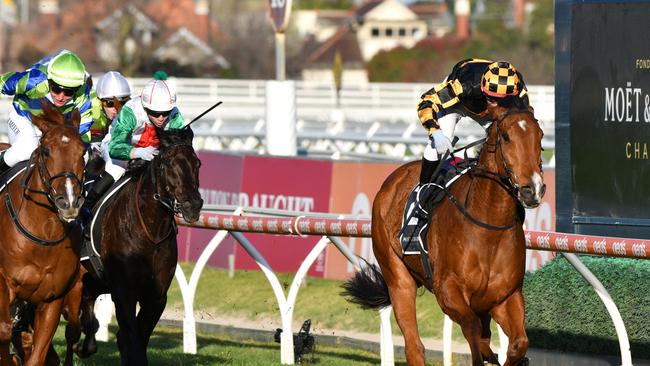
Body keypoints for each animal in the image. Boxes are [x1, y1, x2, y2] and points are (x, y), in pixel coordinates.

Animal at [0, 102, 85, 366]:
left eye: (83, 152)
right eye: (46, 151)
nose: (68, 201)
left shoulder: (51, 299)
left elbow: (38, 352)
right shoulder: (3, 282)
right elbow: (4, 331)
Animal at [342, 106, 544, 366]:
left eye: (540, 136)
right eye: (507, 137)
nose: (533, 189)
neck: (489, 225)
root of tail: (393, 179)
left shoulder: (505, 297)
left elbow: (519, 343)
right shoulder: (447, 292)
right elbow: (473, 330)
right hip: (398, 278)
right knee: (414, 346)